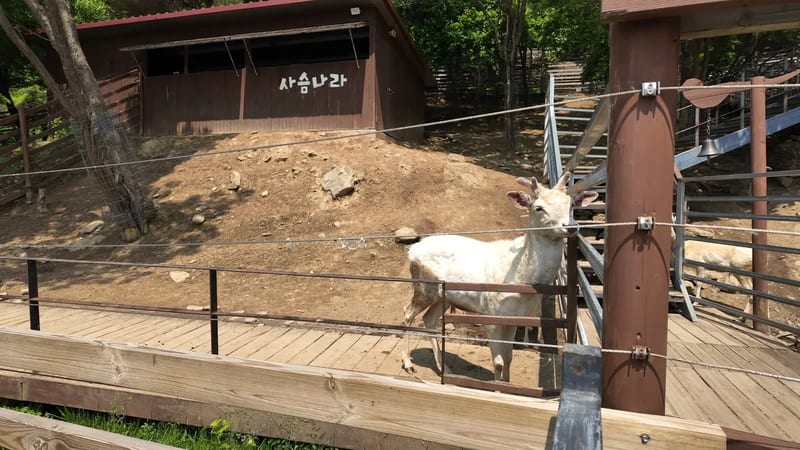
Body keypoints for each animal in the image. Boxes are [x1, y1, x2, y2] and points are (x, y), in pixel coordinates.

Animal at [400, 172, 598, 382]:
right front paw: (497, 384)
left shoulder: (514, 318)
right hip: (424, 287)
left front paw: (508, 383)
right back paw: (408, 363)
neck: (522, 281)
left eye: (571, 204)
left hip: (443, 296)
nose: (571, 227)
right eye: (539, 208)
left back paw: (444, 368)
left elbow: (509, 358)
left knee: (429, 319)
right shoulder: (491, 314)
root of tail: (412, 250)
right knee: (407, 312)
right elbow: (498, 362)